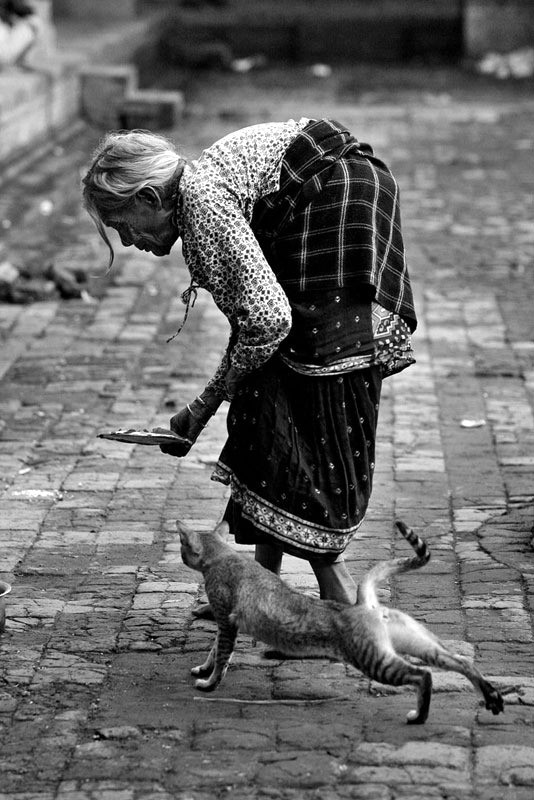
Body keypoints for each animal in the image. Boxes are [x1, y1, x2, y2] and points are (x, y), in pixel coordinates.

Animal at [178, 520, 504, 724]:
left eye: (182, 548)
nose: (181, 554)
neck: (225, 557)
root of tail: (365, 604)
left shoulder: (226, 619)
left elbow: (222, 655)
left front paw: (209, 683)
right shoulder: (226, 622)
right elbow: (215, 651)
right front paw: (204, 668)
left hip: (373, 659)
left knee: (423, 676)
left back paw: (420, 717)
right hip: (417, 641)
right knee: (461, 661)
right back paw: (491, 696)